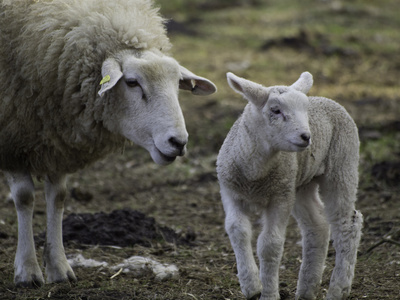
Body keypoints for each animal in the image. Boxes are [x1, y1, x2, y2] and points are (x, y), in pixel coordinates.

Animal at [0, 0, 217, 288]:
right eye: (132, 82)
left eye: (177, 84)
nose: (178, 142)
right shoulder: (11, 137)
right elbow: (24, 197)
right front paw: (27, 271)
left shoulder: (56, 142)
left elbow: (58, 197)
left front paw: (59, 268)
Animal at [217, 72, 364, 300]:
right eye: (275, 110)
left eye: (305, 110)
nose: (306, 137)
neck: (255, 174)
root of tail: (329, 100)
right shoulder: (230, 191)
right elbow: (237, 230)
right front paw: (251, 286)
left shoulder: (280, 197)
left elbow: (270, 244)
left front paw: (268, 294)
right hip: (301, 182)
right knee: (317, 225)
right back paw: (306, 289)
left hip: (342, 164)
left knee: (347, 224)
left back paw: (338, 289)